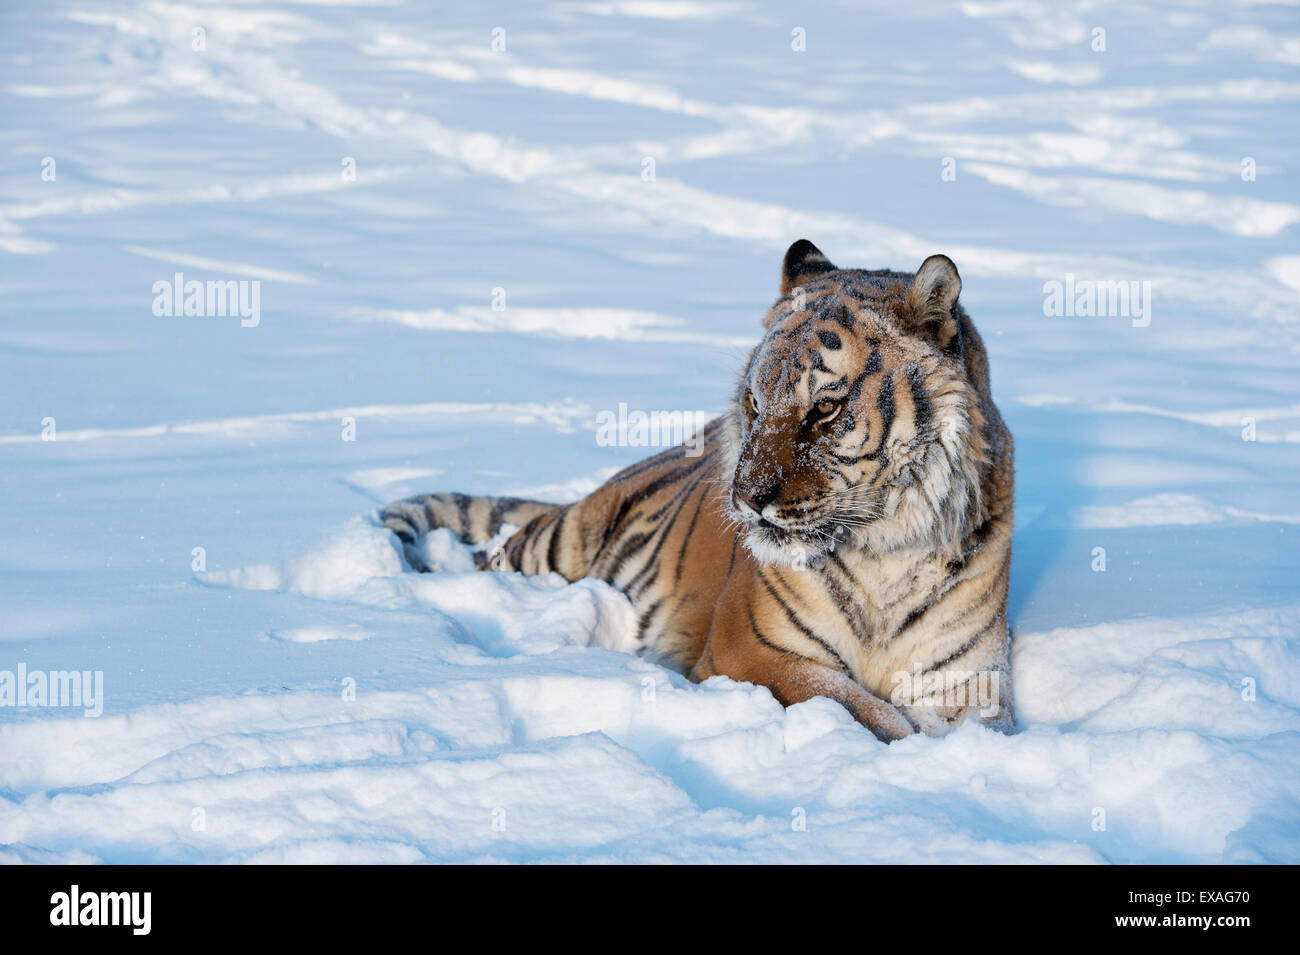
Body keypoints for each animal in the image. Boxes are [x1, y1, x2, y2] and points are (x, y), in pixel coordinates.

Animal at [379, 240, 1008, 748]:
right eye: (754, 401)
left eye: (826, 408)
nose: (746, 498)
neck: (884, 552)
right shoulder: (753, 652)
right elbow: (863, 712)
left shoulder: (969, 681)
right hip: (558, 546)